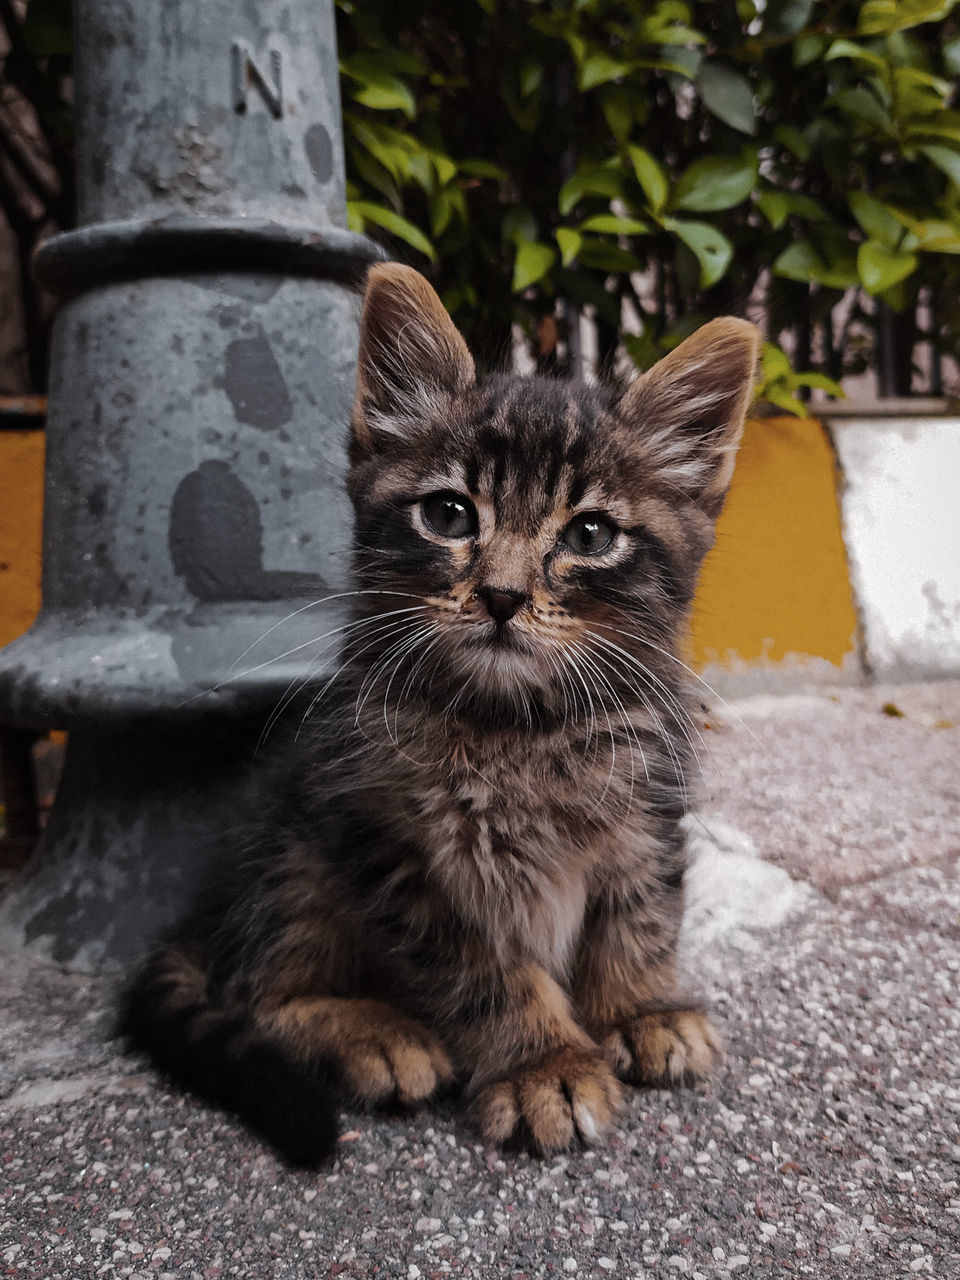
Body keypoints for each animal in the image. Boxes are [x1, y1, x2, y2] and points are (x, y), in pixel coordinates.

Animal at [122, 264, 757, 1167]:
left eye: (591, 534)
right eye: (450, 515)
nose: (501, 595)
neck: (519, 727)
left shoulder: (647, 811)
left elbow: (641, 914)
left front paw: (639, 1008)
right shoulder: (397, 846)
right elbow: (485, 974)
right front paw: (543, 1063)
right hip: (291, 845)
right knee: (253, 993)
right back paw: (373, 1035)